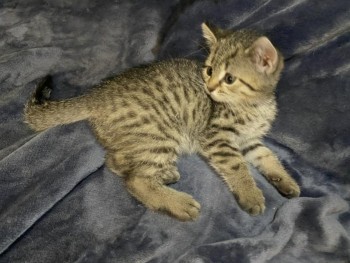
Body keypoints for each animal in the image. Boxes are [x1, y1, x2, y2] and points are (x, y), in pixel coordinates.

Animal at [23, 23, 300, 222]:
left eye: (229, 78)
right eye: (209, 70)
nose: (209, 87)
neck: (253, 105)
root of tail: (96, 94)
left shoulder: (250, 140)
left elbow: (268, 156)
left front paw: (285, 181)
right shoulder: (218, 138)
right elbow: (237, 167)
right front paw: (250, 194)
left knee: (116, 162)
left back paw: (164, 175)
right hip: (160, 133)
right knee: (135, 180)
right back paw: (178, 203)